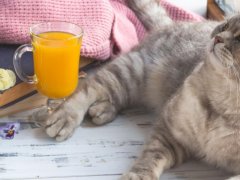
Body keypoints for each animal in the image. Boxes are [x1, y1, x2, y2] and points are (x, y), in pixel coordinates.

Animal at [33, 0, 240, 180]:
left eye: (239, 40)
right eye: (224, 26)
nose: (218, 37)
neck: (224, 105)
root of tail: (172, 23)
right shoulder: (170, 130)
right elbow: (151, 157)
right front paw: (138, 175)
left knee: (116, 96)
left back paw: (102, 110)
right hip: (132, 69)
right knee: (90, 88)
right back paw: (66, 117)